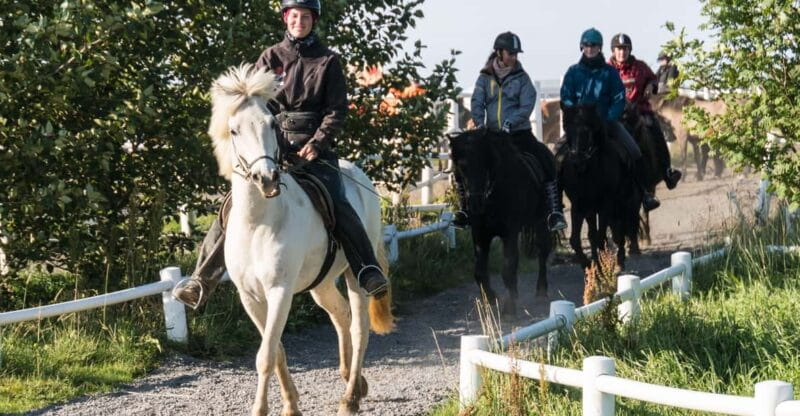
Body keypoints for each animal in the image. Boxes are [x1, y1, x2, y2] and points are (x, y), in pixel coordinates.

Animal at [207, 64, 394, 416]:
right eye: (234, 130)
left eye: (271, 123)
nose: (266, 178)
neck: (259, 222)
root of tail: (359, 174)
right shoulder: (250, 297)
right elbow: (276, 350)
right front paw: (291, 405)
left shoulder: (279, 291)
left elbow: (266, 355)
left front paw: (261, 409)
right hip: (322, 284)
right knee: (341, 315)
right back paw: (352, 380)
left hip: (356, 275)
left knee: (359, 328)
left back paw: (350, 397)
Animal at [448, 129, 552, 316]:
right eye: (460, 167)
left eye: (483, 163)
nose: (475, 204)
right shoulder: (480, 233)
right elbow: (479, 272)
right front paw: (492, 298)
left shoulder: (510, 232)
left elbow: (508, 269)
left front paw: (509, 309)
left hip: (541, 220)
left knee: (543, 250)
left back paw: (541, 290)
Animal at [559, 104, 641, 270]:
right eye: (566, 128)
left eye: (587, 131)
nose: (577, 161)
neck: (589, 171)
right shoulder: (579, 206)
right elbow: (577, 239)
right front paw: (590, 265)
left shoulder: (605, 205)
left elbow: (601, 236)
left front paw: (603, 267)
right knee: (599, 233)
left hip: (622, 202)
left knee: (619, 230)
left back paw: (620, 261)